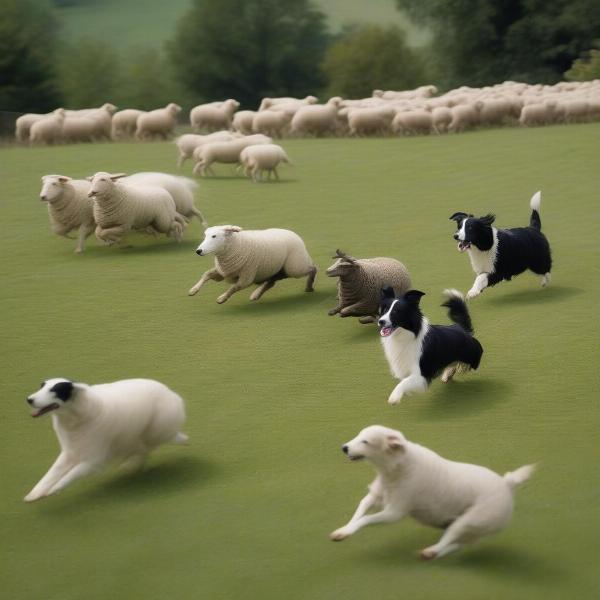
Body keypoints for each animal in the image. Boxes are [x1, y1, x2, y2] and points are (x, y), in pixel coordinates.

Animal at [24, 380, 186, 502]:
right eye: (42, 386)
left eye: (55, 390)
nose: (29, 399)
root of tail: (172, 394)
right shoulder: (70, 452)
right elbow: (51, 473)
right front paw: (34, 494)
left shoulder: (93, 460)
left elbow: (70, 475)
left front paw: (53, 490)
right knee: (142, 449)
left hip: (153, 431)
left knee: (148, 447)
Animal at [330, 424, 536, 560]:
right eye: (358, 435)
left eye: (365, 441)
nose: (344, 448)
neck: (397, 467)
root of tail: (506, 485)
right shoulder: (375, 497)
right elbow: (359, 512)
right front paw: (344, 531)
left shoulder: (393, 512)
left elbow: (366, 519)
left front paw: (348, 531)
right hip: (470, 528)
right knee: (457, 545)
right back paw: (433, 553)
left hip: (469, 520)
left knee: (451, 538)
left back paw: (432, 550)